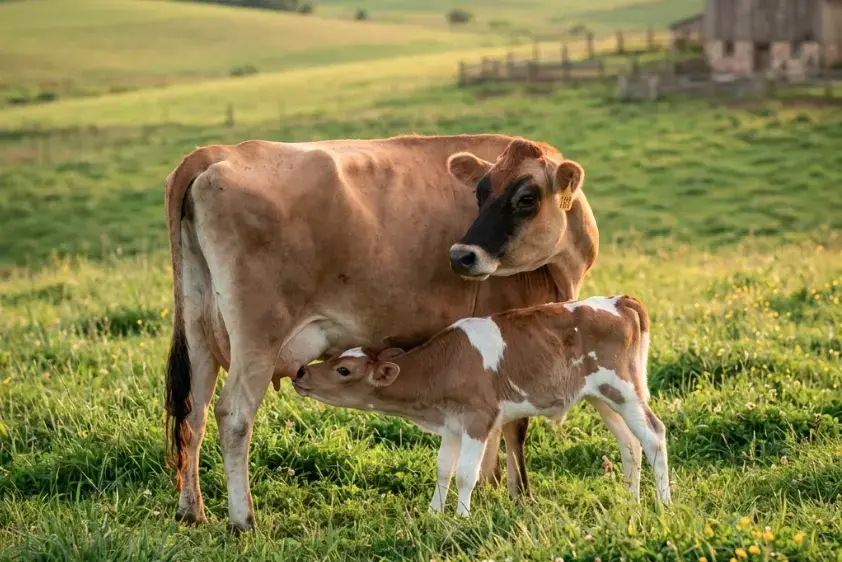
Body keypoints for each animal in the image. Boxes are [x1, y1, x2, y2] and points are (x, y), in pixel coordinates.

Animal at [163, 134, 599, 531]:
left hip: (199, 329)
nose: (462, 255)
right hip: (258, 335)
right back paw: (243, 519)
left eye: (526, 198)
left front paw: (491, 488)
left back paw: (192, 511)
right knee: (234, 415)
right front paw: (517, 493)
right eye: (480, 192)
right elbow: (515, 425)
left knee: (193, 413)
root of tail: (219, 151)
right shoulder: (509, 327)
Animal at [293, 295, 671, 515]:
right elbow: (443, 470)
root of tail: (619, 300)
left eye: (344, 369)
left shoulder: (478, 418)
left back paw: (663, 502)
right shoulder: (452, 424)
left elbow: (465, 474)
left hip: (623, 388)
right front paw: (433, 514)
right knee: (630, 444)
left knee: (654, 435)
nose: (300, 372)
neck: (443, 365)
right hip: (600, 395)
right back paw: (632, 500)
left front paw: (461, 518)